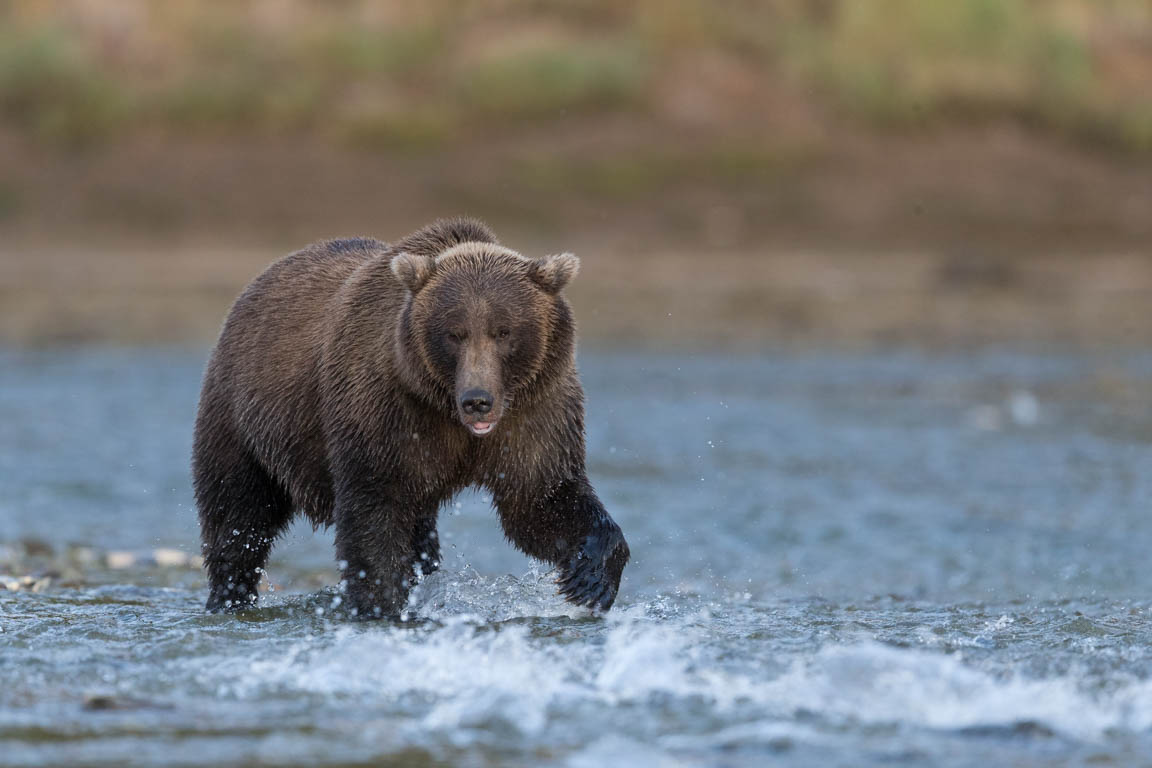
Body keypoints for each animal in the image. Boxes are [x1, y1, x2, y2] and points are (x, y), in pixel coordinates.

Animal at [195, 216, 631, 617]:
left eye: (504, 331)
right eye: (454, 333)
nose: (477, 400)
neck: (446, 409)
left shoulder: (533, 412)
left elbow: (540, 497)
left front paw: (590, 578)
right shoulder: (384, 408)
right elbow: (374, 511)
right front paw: (381, 603)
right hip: (243, 415)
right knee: (238, 516)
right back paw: (229, 596)